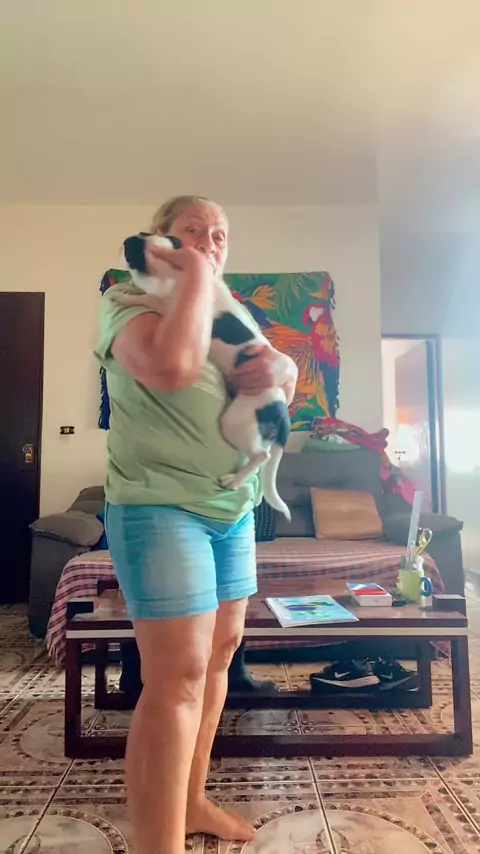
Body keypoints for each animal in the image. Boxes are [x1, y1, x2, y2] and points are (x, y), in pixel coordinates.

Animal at [110, 233, 292, 519]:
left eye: (131, 247)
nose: (123, 244)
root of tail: (281, 408)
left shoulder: (164, 305)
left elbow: (146, 299)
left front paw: (123, 296)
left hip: (235, 422)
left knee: (260, 456)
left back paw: (234, 481)